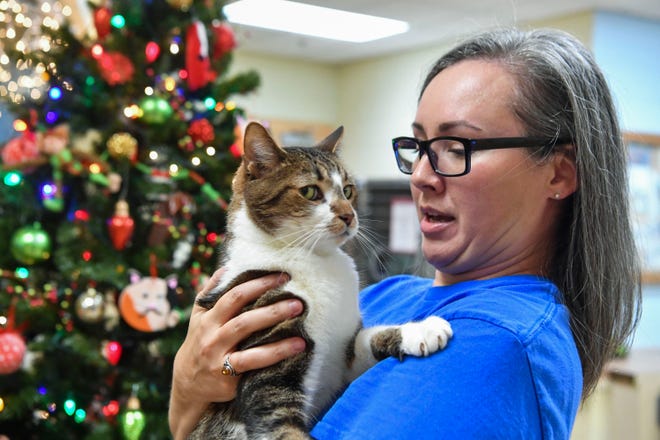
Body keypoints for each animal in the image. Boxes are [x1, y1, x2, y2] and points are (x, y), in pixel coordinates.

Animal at [188, 122, 452, 440]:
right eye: (310, 191)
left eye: (348, 190)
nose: (349, 215)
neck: (315, 261)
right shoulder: (269, 363)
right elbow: (281, 423)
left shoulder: (343, 358)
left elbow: (367, 340)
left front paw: (421, 330)